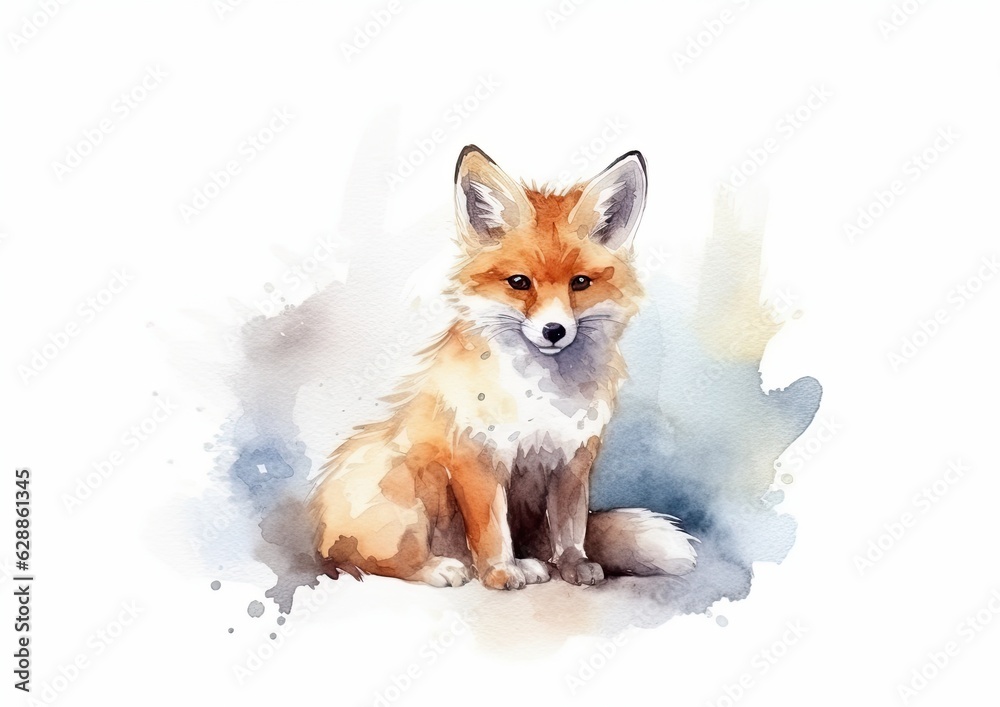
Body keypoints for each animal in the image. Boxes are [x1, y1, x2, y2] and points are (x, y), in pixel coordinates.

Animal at [308, 145, 697, 590]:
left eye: (580, 283)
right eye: (519, 282)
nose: (553, 330)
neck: (542, 397)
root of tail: (321, 531)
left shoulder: (572, 460)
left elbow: (571, 526)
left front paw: (573, 565)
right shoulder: (477, 457)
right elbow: (492, 529)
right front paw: (498, 573)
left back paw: (532, 564)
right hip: (404, 489)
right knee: (374, 562)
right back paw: (443, 567)